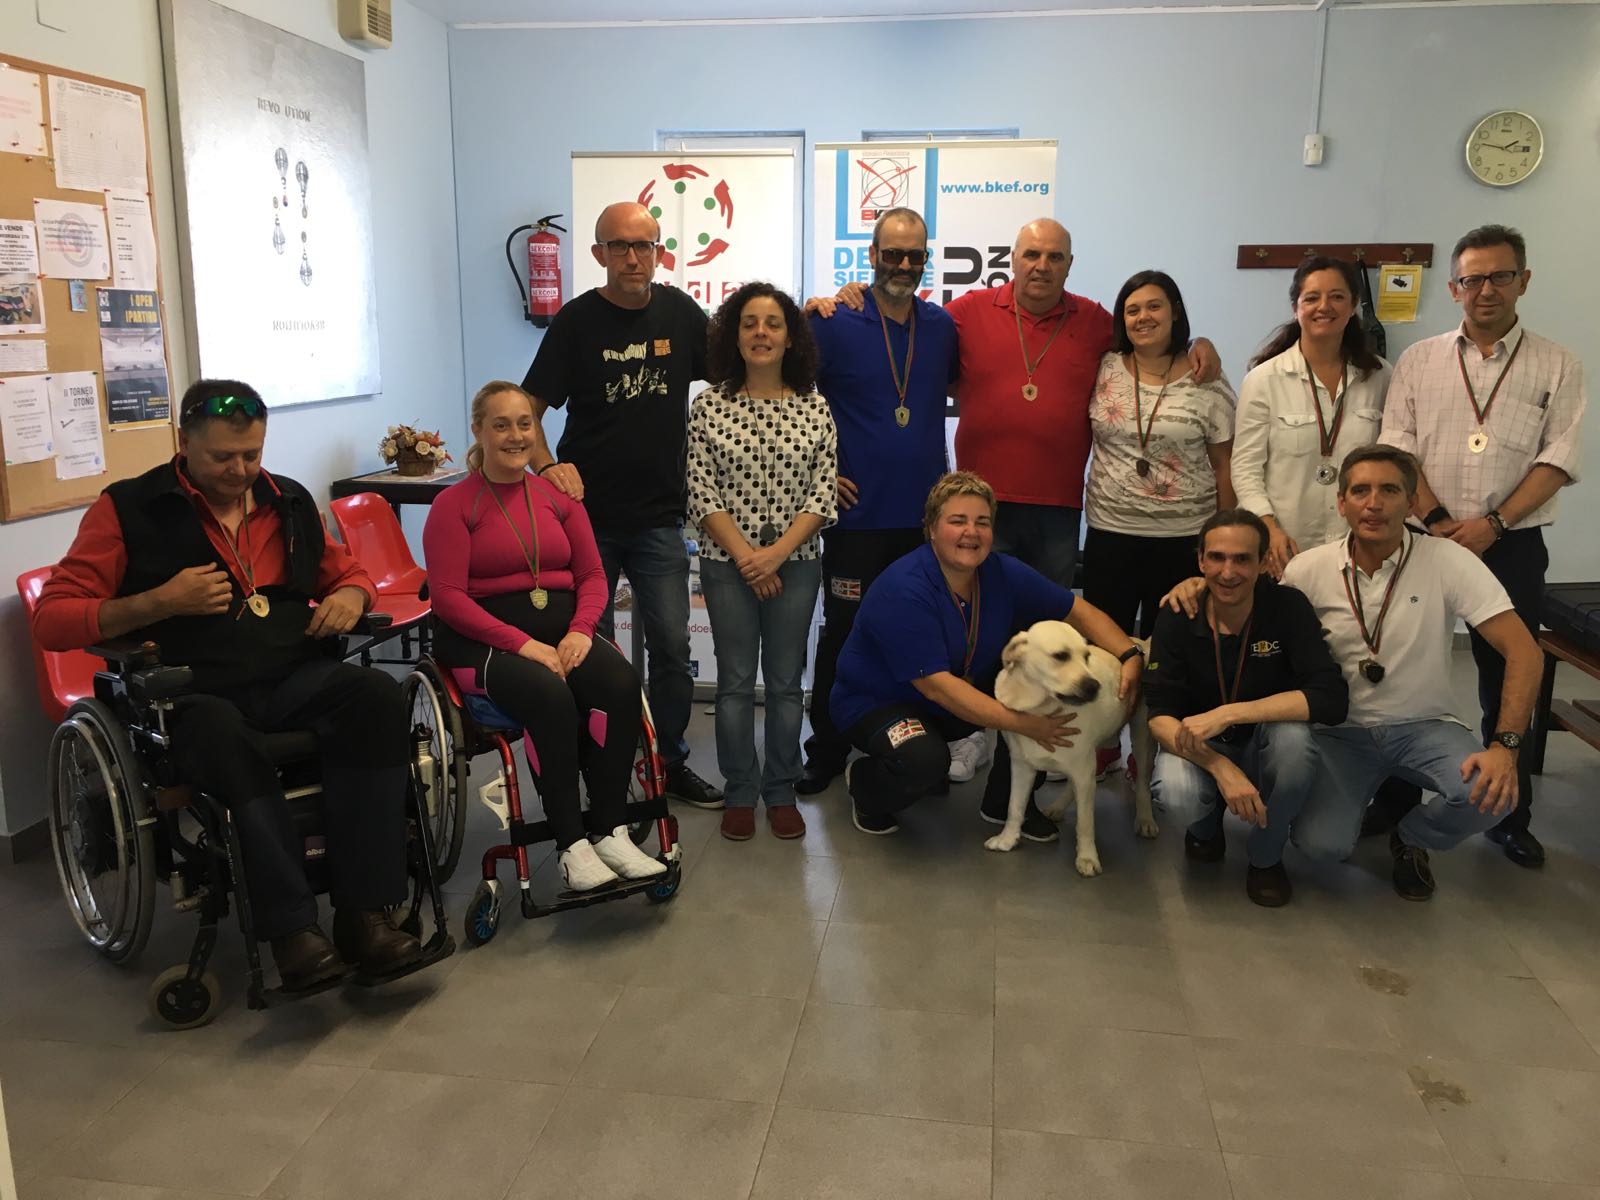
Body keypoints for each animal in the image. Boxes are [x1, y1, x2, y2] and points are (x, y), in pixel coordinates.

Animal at [987, 621, 1157, 876]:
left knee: (1143, 784)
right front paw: (1007, 839)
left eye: (1086, 656)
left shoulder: (1082, 769)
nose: (1094, 686)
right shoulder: (1021, 766)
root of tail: (1140, 642)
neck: (1040, 710)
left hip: (1140, 739)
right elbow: (1014, 807)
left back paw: (1145, 819)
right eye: (1060, 656)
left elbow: (1085, 823)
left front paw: (1087, 857)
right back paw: (1057, 808)